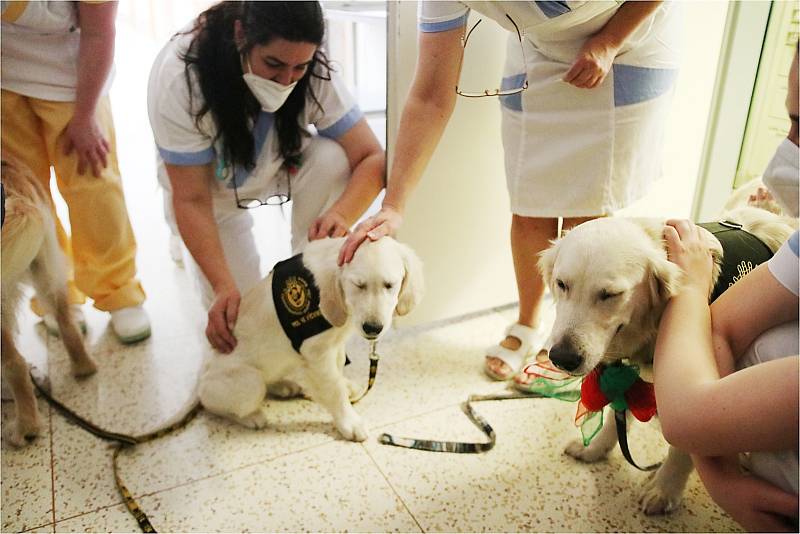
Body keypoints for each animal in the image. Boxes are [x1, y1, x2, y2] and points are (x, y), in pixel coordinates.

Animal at [199, 239, 422, 444]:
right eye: (358, 285)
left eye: (389, 285)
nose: (373, 328)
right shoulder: (317, 353)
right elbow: (333, 389)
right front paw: (349, 422)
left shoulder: (336, 345)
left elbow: (338, 371)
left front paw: (345, 388)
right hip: (249, 382)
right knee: (215, 407)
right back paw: (252, 417)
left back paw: (284, 386)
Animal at [536, 205, 792, 516]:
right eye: (562, 284)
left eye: (611, 295)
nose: (561, 358)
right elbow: (616, 417)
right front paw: (595, 448)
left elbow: (682, 448)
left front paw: (664, 489)